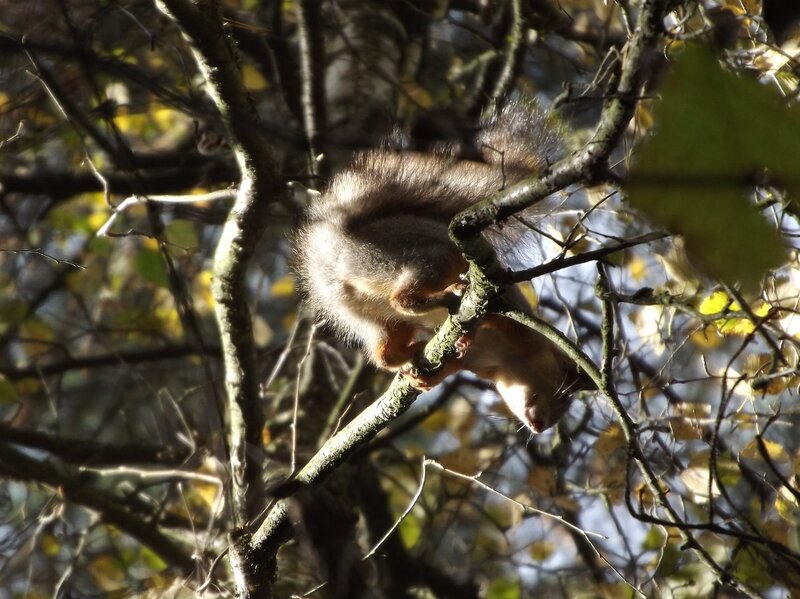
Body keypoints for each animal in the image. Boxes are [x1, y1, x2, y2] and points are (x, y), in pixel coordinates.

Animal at [294, 98, 594, 433]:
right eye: (562, 393)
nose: (541, 427)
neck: (508, 363)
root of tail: (338, 248)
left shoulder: (469, 363)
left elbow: (448, 366)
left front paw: (428, 378)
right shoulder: (513, 320)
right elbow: (492, 316)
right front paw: (466, 334)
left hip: (369, 319)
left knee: (384, 353)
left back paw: (410, 352)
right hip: (423, 258)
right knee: (403, 298)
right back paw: (447, 295)